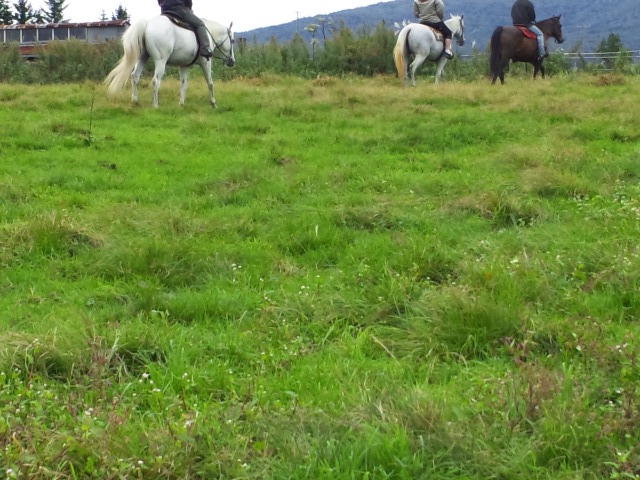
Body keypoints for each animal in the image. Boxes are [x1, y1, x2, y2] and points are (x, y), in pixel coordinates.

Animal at [105, 16, 235, 109]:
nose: (232, 62)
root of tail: (147, 23)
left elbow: (183, 84)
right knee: (155, 81)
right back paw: (155, 106)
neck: (209, 34)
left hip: (142, 59)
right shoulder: (206, 63)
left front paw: (181, 103)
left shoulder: (183, 66)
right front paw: (213, 103)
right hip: (160, 62)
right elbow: (210, 83)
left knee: (135, 76)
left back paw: (135, 101)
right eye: (232, 40)